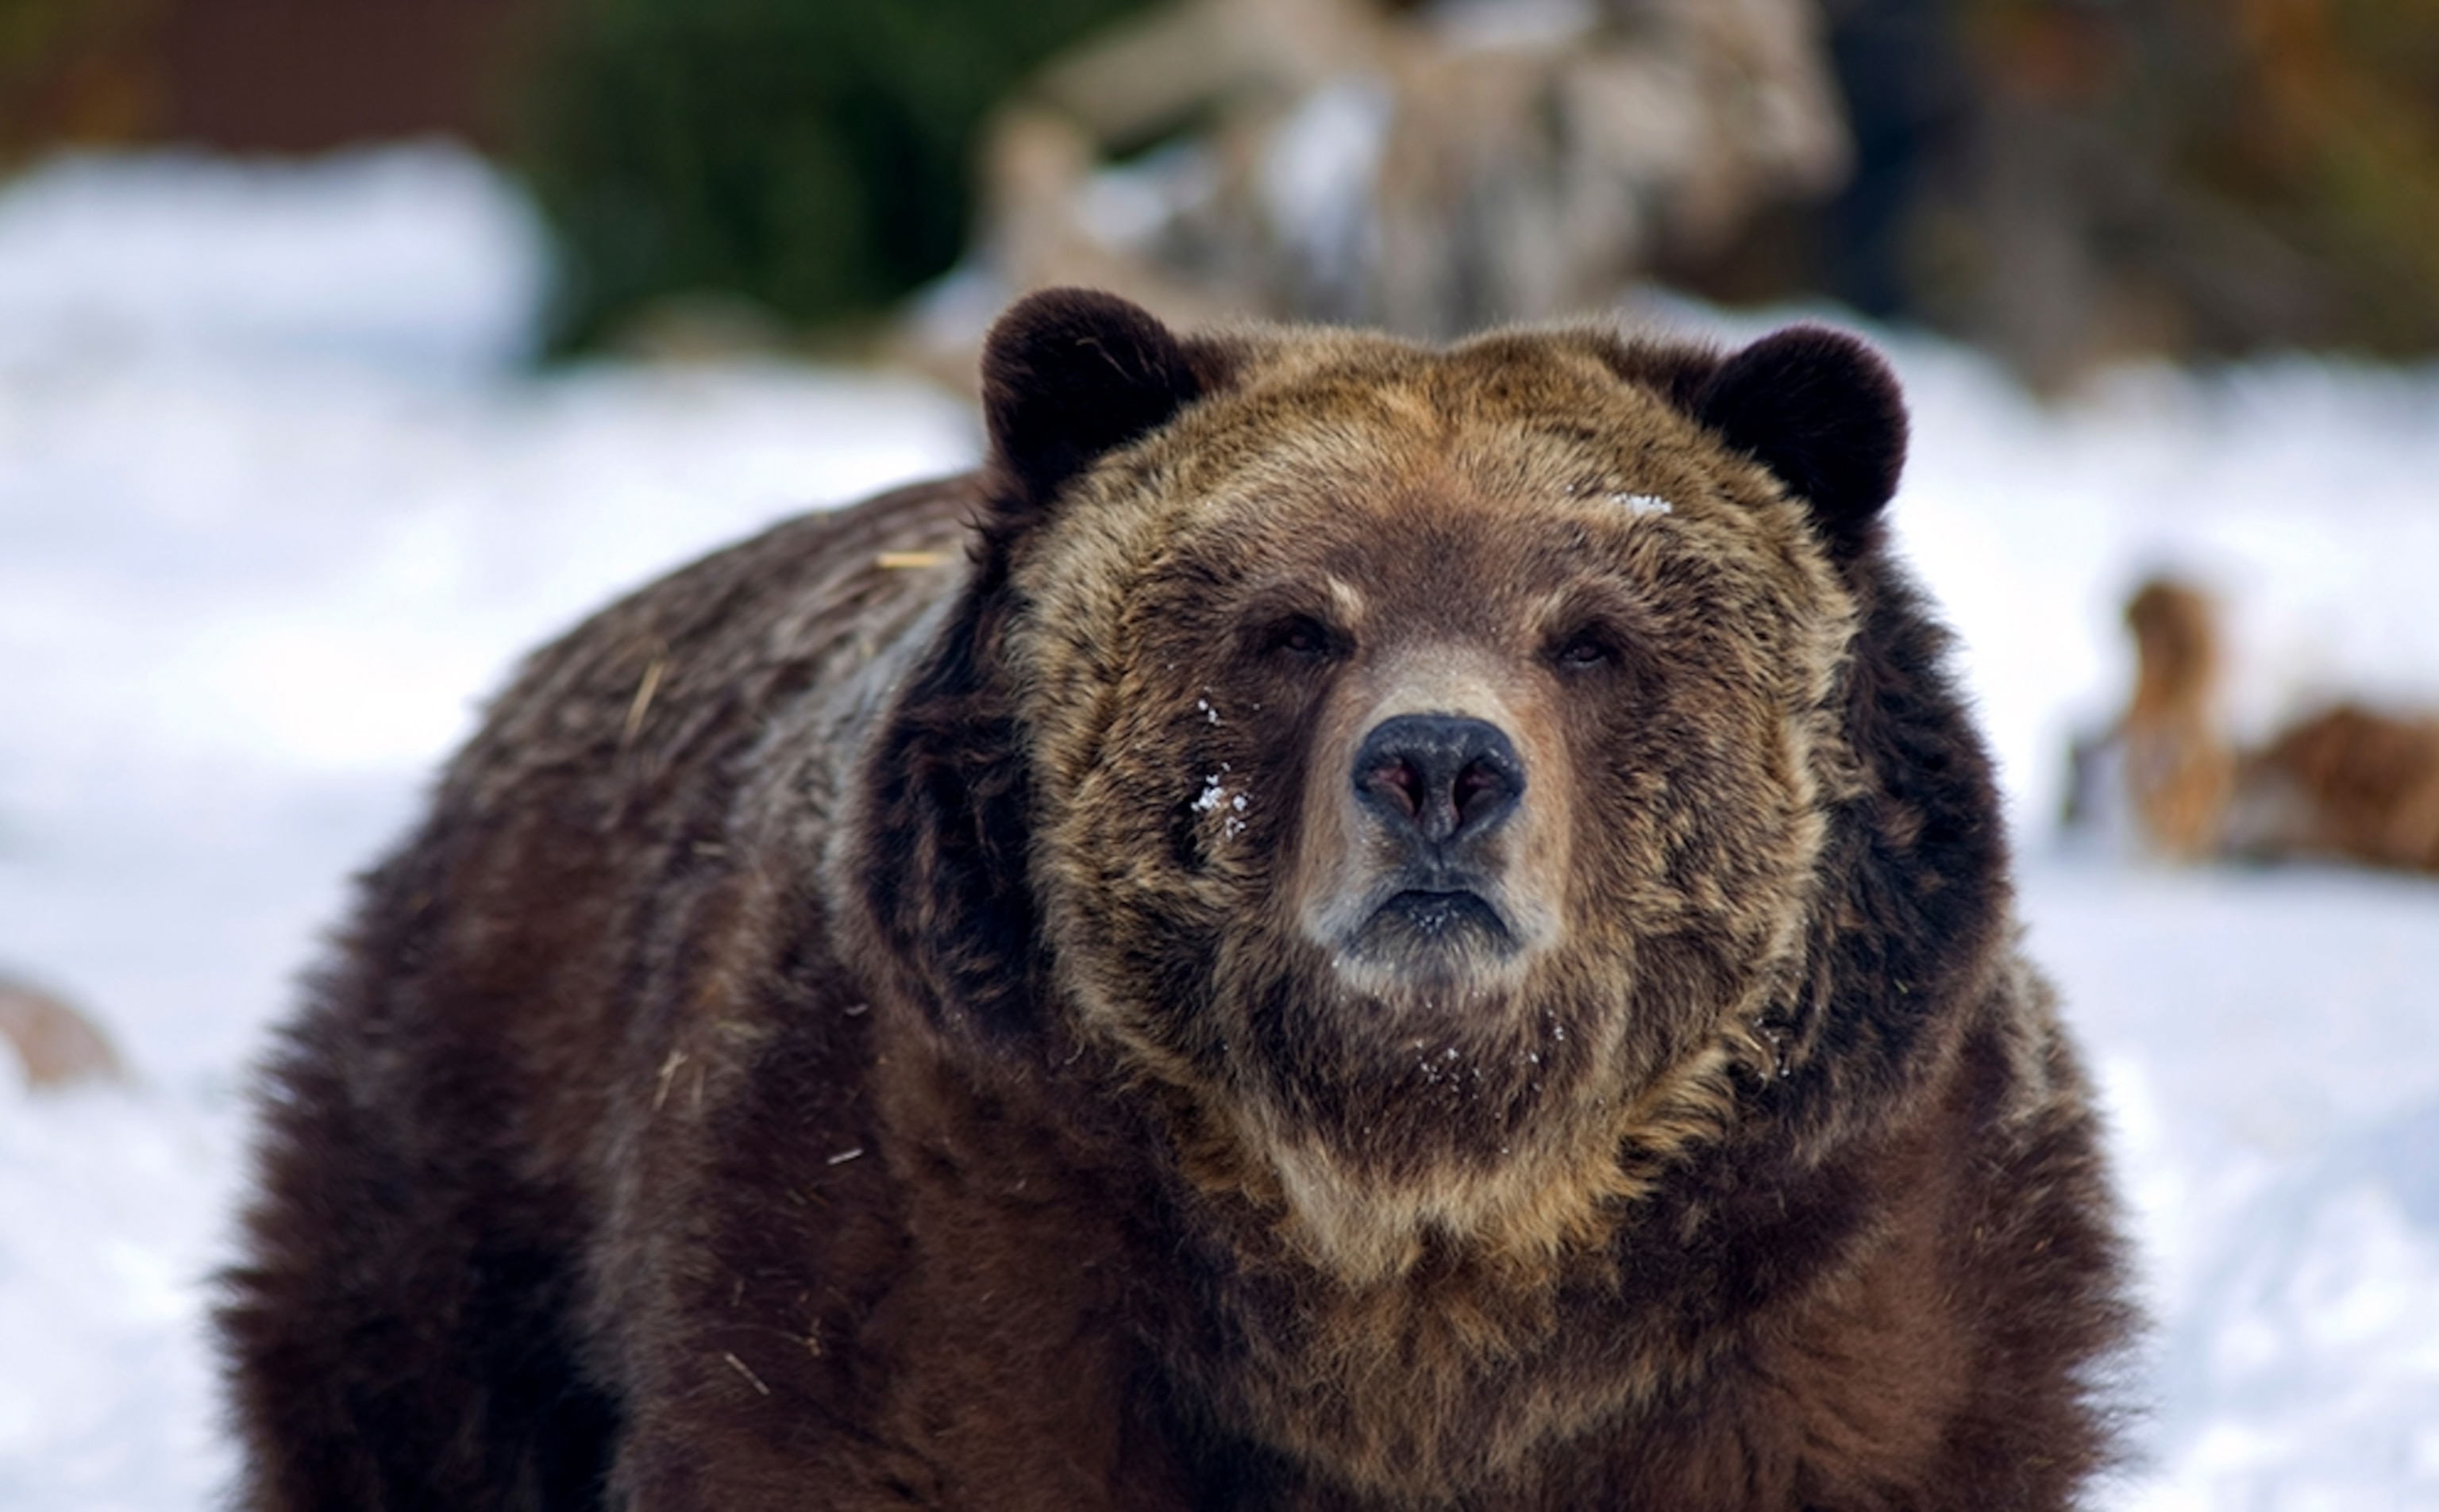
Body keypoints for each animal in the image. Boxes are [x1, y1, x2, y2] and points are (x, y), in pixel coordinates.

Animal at [220, 288, 2136, 1510]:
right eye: (1297, 623)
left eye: (1591, 632)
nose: (1439, 770)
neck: (1415, 1204)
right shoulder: (948, 1206)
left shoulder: (1824, 1274)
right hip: (470, 1179)